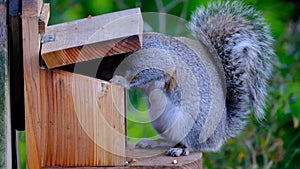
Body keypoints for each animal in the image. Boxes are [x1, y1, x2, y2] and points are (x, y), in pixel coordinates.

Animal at [109, 0, 274, 157]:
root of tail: (219, 136)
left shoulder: (157, 59)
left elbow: (149, 73)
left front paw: (122, 81)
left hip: (192, 125)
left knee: (194, 144)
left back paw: (181, 149)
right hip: (161, 121)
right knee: (172, 139)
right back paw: (156, 142)